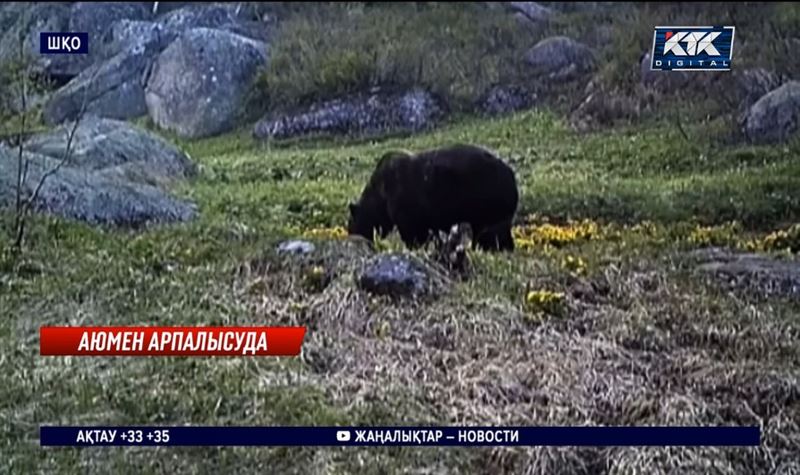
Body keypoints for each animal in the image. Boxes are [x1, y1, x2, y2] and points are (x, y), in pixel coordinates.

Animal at [348, 144, 520, 253]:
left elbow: (413, 232)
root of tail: (511, 175)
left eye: (351, 225)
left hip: (487, 200)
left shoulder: (405, 205)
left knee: (490, 233)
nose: (352, 238)